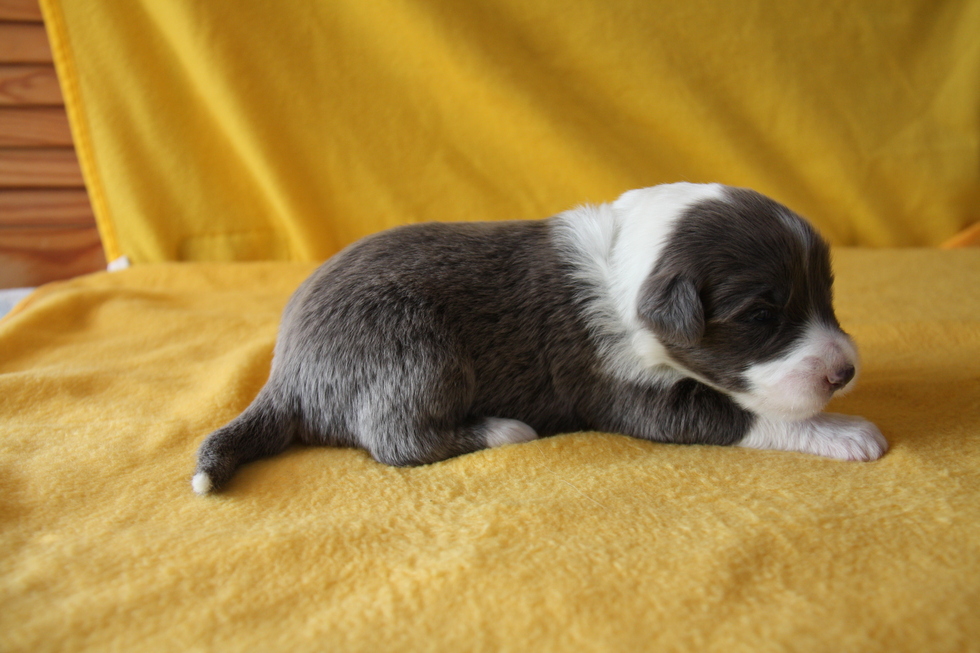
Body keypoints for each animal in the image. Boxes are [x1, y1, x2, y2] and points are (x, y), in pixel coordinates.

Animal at [192, 183, 886, 494]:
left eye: (827, 294)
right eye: (761, 316)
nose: (844, 372)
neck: (629, 267)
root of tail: (286, 374)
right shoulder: (624, 389)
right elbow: (742, 415)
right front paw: (845, 430)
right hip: (411, 350)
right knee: (396, 437)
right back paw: (504, 429)